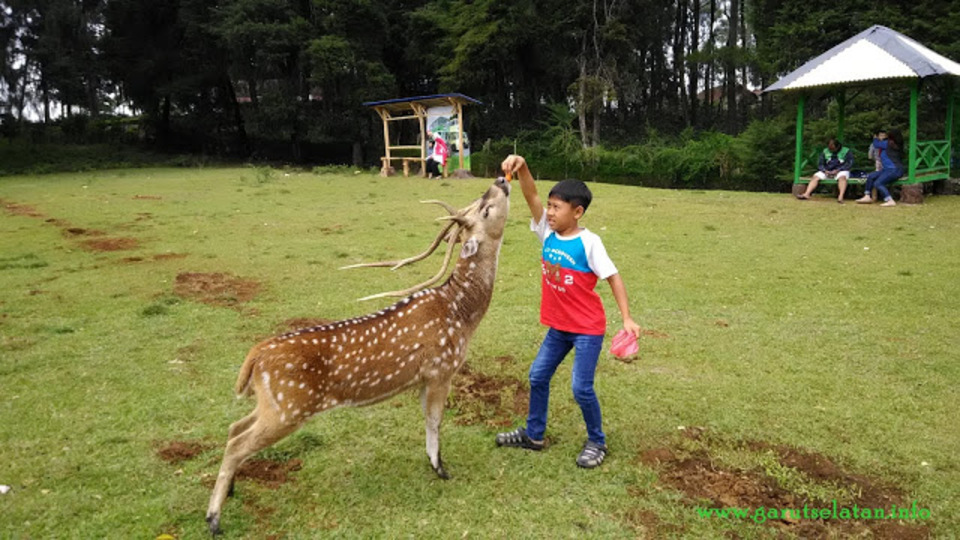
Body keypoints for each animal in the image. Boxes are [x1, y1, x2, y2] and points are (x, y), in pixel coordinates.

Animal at [207, 178, 512, 536]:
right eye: (486, 208)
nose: (501, 180)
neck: (462, 315)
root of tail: (255, 356)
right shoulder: (442, 368)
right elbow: (435, 420)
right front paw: (441, 469)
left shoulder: (425, 377)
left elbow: (427, 420)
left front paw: (432, 462)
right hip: (289, 407)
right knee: (236, 444)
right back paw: (214, 518)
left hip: (271, 403)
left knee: (234, 427)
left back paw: (232, 489)